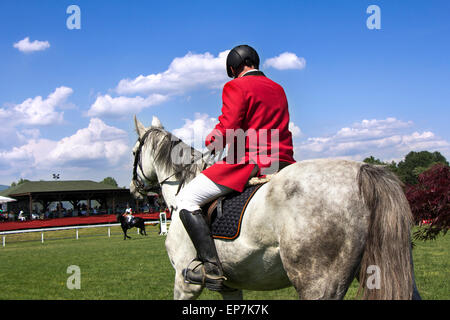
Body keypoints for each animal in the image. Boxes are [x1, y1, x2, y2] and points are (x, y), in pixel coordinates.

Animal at [130, 117, 422, 300]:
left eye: (134, 152)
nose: (134, 189)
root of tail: (363, 171)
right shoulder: (229, 287)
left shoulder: (184, 282)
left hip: (318, 284)